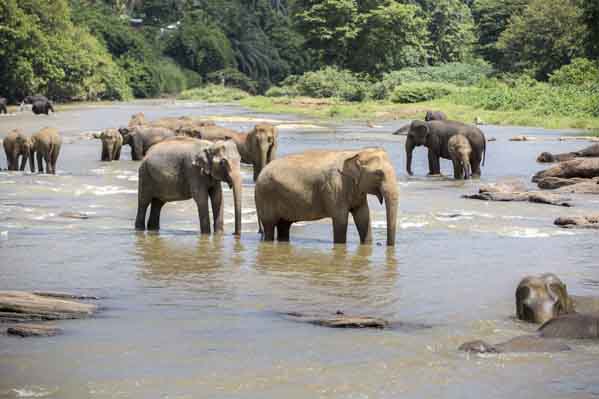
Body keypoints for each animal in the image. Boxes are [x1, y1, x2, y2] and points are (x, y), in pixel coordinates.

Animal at [253, 148, 398, 245]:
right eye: (379, 174)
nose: (383, 245)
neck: (356, 153)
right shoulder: (335, 187)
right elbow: (341, 220)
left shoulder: (357, 190)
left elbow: (363, 218)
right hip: (265, 194)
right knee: (269, 226)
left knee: (284, 226)